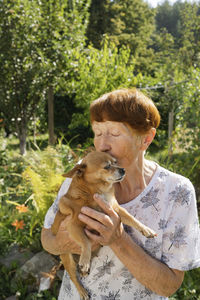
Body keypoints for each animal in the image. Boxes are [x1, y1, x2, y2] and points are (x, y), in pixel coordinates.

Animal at [50, 152, 156, 300]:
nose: (123, 169)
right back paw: (82, 289)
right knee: (73, 276)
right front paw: (85, 260)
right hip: (67, 258)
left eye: (116, 162)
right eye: (107, 166)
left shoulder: (116, 210)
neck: (96, 192)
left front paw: (146, 229)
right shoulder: (73, 225)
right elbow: (86, 241)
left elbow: (131, 218)